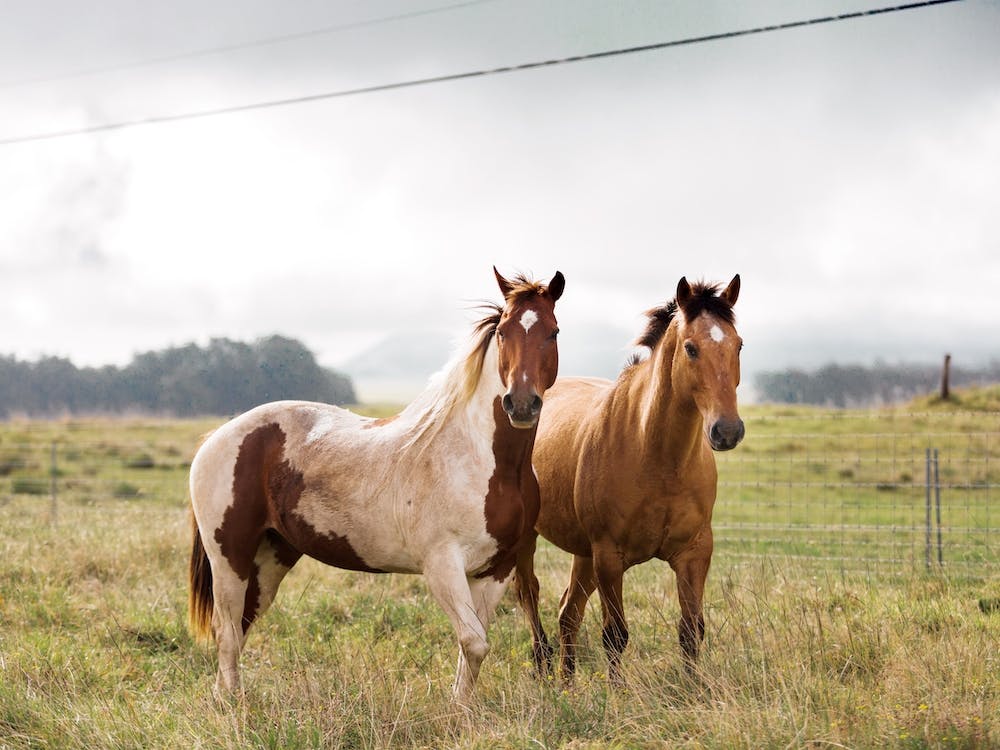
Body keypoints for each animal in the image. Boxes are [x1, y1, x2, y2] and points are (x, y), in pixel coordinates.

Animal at [188, 267, 565, 703]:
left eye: (553, 331)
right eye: (503, 331)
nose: (520, 404)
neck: (488, 463)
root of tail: (218, 436)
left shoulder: (496, 570)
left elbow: (472, 649)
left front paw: (463, 709)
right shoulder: (442, 565)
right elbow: (473, 643)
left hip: (271, 558)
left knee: (242, 625)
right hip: (229, 556)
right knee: (228, 630)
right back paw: (233, 704)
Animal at [513, 275, 743, 684]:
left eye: (739, 345)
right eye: (691, 348)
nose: (727, 431)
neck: (657, 458)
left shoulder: (694, 552)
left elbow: (691, 629)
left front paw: (693, 690)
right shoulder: (609, 556)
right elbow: (615, 635)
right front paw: (617, 694)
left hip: (583, 553)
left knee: (568, 613)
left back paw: (567, 686)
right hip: (535, 540)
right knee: (530, 594)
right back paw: (543, 668)